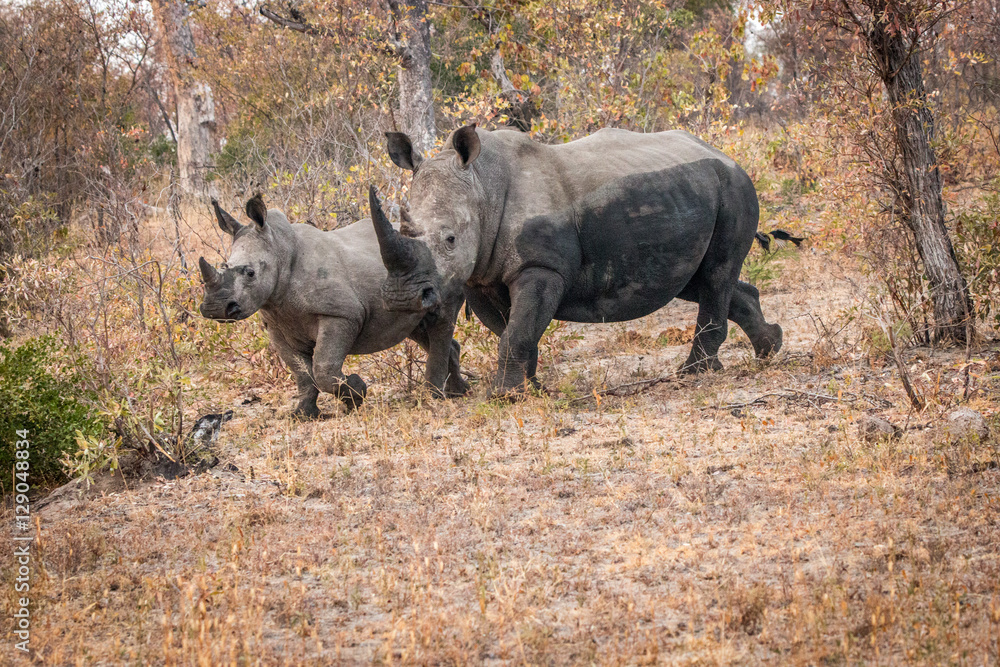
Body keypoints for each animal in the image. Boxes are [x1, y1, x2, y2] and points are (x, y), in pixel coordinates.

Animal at [198, 194, 469, 418]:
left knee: (441, 318)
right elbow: (303, 374)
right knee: (417, 326)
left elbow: (323, 368)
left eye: (251, 273)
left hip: (442, 269)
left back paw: (437, 396)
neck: (280, 251)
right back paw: (458, 392)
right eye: (223, 265)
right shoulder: (276, 324)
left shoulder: (341, 314)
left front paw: (356, 394)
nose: (215, 309)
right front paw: (303, 415)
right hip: (408, 289)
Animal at [370, 124, 783, 396]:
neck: (482, 186)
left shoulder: (541, 267)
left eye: (450, 239)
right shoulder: (480, 276)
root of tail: (727, 155)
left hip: (733, 189)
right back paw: (769, 347)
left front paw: (503, 396)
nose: (404, 298)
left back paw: (694, 374)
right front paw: (531, 390)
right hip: (695, 193)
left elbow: (517, 332)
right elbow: (512, 331)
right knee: (694, 281)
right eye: (406, 230)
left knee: (715, 274)